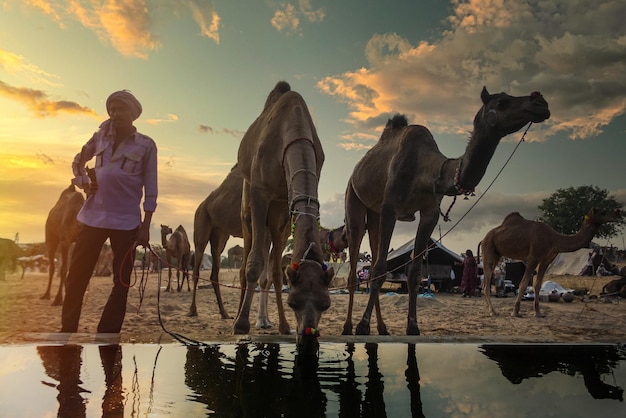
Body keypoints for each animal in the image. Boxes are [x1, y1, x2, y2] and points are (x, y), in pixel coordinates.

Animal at [234, 79, 334, 356]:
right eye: (293, 302)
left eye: (325, 304)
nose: (308, 339)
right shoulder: (259, 190)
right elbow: (254, 262)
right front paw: (242, 324)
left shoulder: (285, 204)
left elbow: (278, 272)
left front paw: (284, 326)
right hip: (247, 196)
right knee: (246, 253)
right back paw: (237, 318)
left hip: (277, 210)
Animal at [338, 88, 548, 336]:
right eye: (502, 102)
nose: (540, 103)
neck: (426, 171)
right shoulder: (390, 207)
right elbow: (380, 267)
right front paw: (362, 325)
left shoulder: (430, 212)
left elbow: (414, 272)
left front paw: (412, 326)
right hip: (354, 197)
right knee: (356, 257)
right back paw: (348, 326)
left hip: (375, 212)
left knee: (372, 251)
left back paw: (381, 327)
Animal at [478, 207, 620, 316]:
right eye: (603, 212)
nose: (617, 212)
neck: (554, 239)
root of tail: (483, 238)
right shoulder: (533, 257)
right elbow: (523, 284)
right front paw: (515, 311)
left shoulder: (546, 260)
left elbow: (537, 285)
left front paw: (538, 313)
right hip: (488, 248)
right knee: (486, 283)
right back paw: (493, 311)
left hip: (496, 254)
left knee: (486, 282)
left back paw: (490, 310)